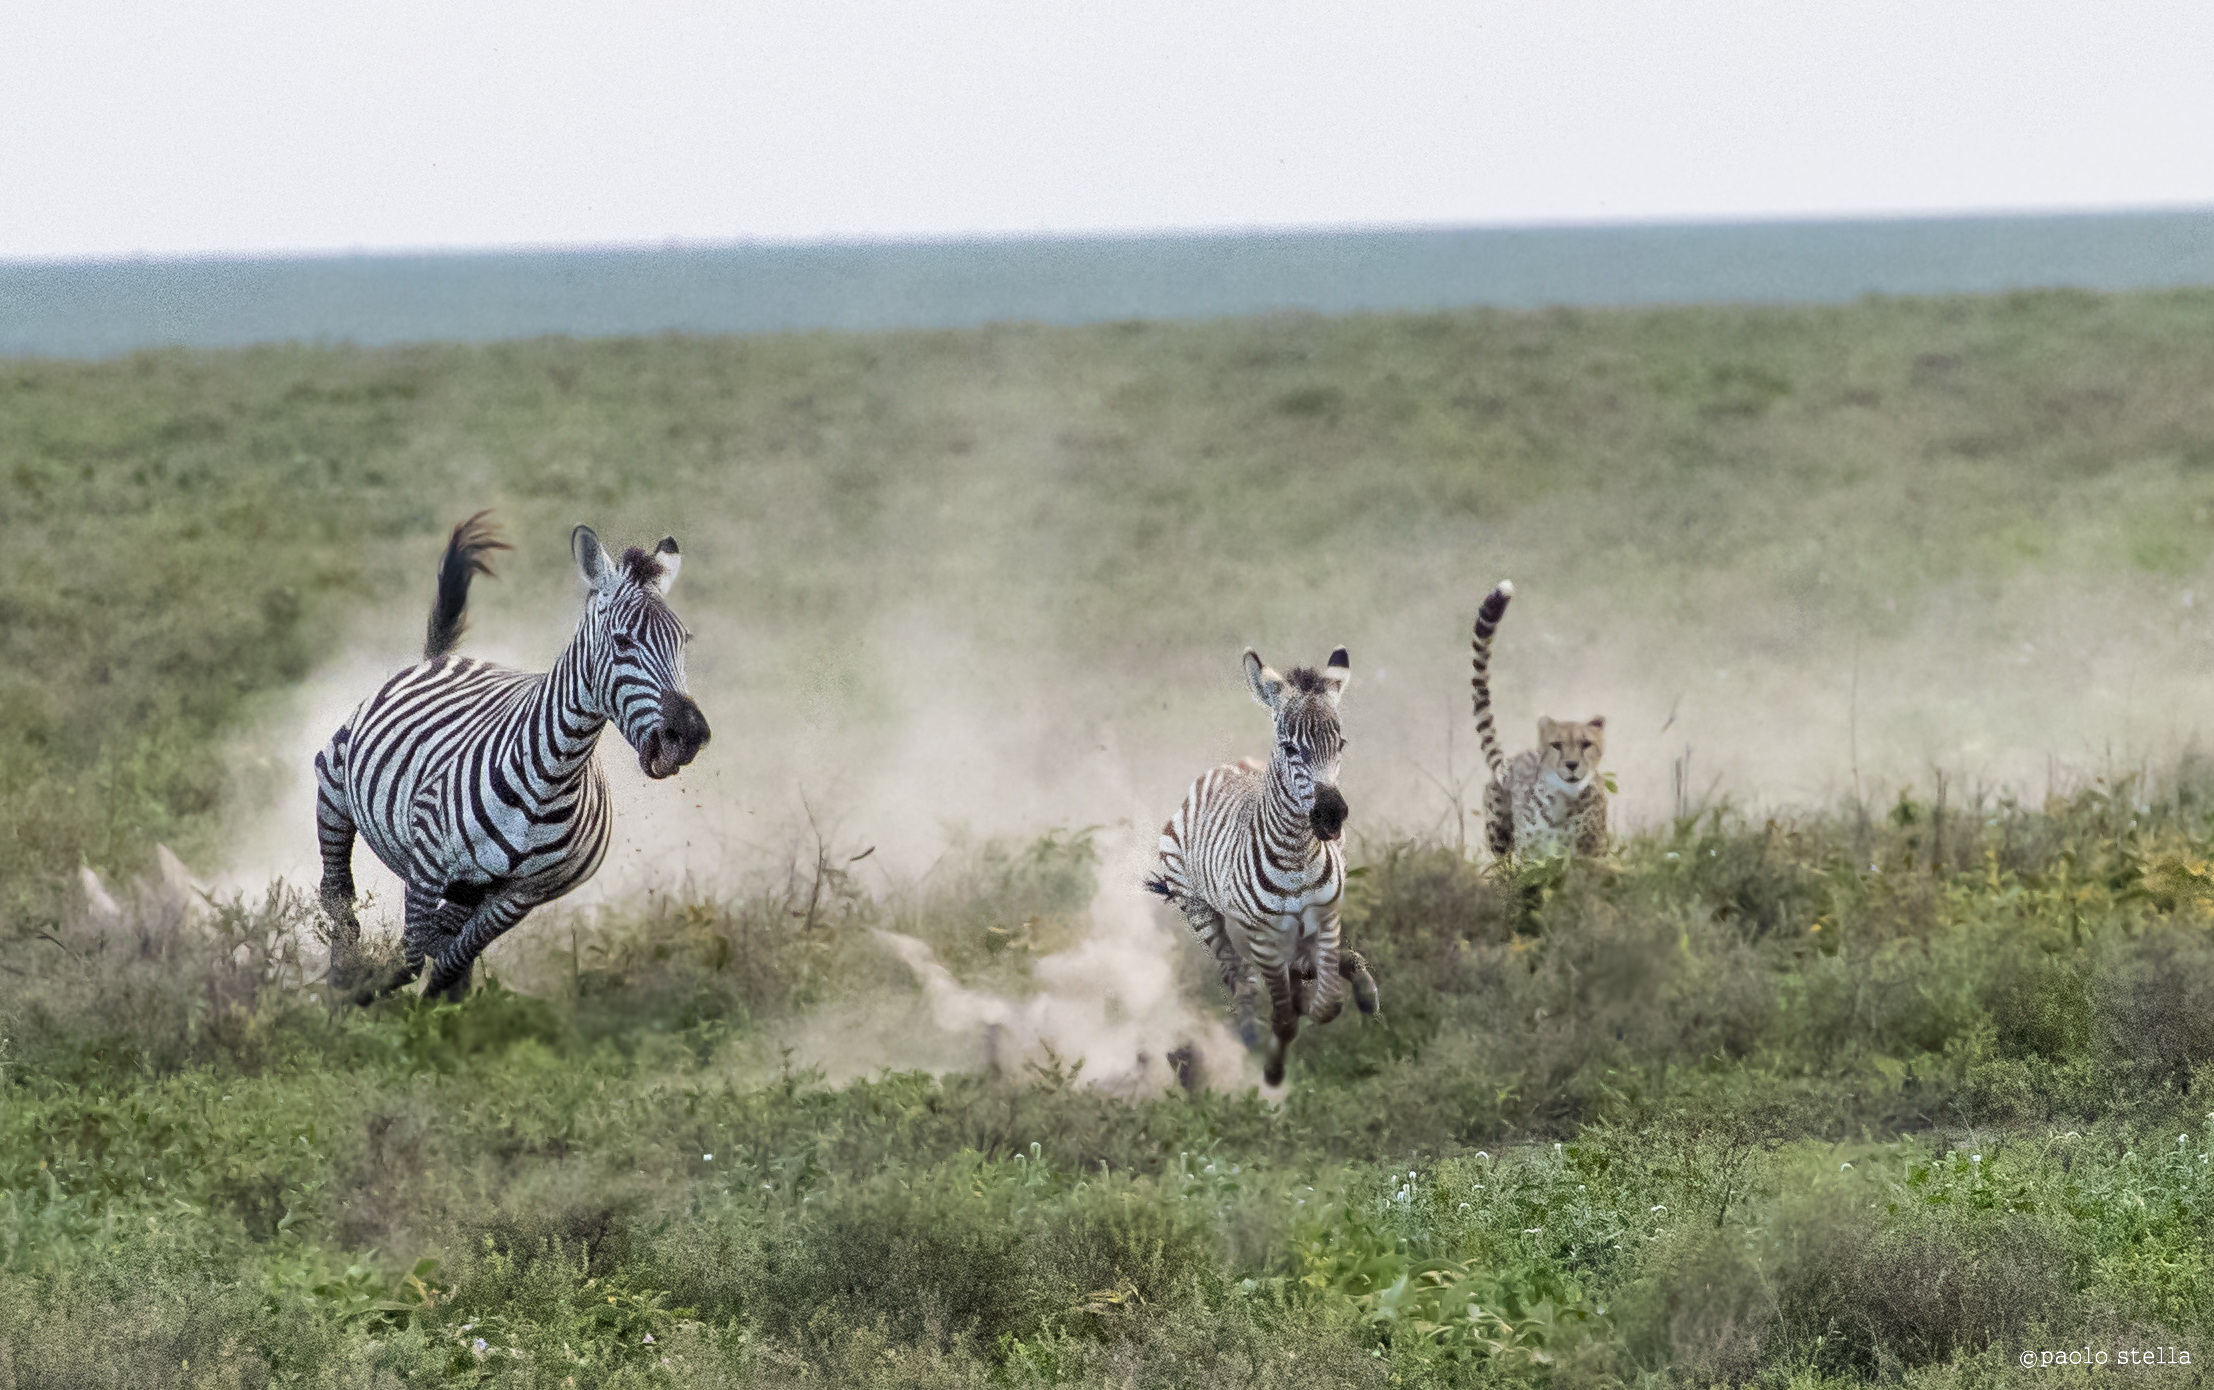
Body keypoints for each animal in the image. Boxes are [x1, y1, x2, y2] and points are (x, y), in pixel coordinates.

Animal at [316, 513, 711, 1001]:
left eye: (684, 641)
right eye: (622, 642)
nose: (687, 736)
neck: (552, 777)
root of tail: (442, 657)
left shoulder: (518, 897)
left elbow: (450, 958)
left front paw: (435, 1009)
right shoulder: (427, 866)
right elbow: (411, 957)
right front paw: (369, 992)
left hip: (470, 891)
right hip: (334, 788)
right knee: (337, 897)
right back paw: (343, 980)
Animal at [1147, 647, 1380, 1086]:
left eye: (1340, 743)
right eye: (1290, 749)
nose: (1331, 815)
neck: (1298, 856)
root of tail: (1222, 769)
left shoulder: (1326, 917)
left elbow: (1328, 1001)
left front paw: (1343, 993)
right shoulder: (1262, 936)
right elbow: (1285, 1016)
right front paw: (1273, 1067)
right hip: (1200, 910)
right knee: (1237, 973)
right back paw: (1251, 1029)